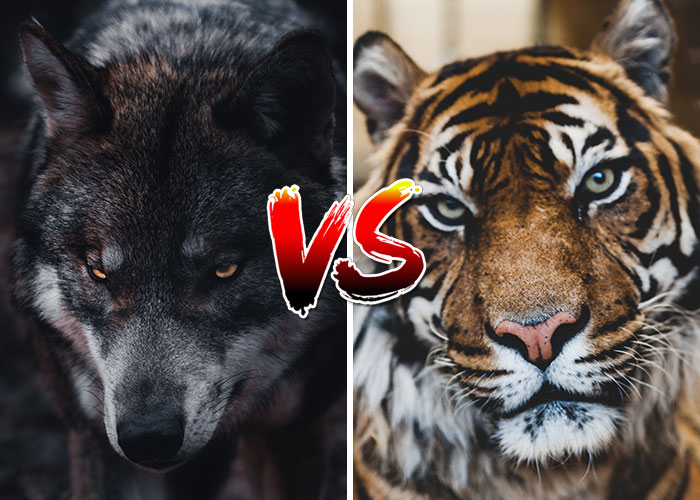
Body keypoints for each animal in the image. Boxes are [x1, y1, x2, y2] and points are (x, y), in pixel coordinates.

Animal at [10, 1, 346, 498]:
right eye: (98, 272)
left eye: (225, 270)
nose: (147, 437)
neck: (184, 53)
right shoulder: (96, 440)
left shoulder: (292, 431)